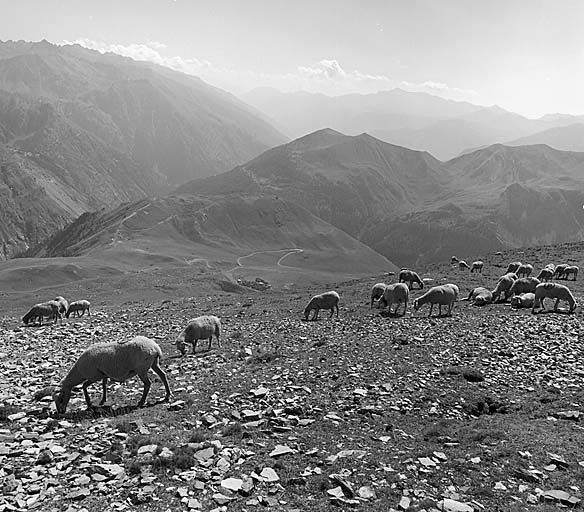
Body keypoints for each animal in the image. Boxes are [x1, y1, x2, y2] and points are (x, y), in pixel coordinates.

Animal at [36, 334, 171, 414]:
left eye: (61, 398)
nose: (60, 412)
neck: (79, 371)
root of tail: (155, 347)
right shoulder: (104, 374)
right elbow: (104, 385)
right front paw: (103, 400)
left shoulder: (94, 376)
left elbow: (84, 386)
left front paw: (90, 404)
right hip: (153, 364)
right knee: (163, 375)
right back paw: (167, 395)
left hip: (141, 369)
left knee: (148, 383)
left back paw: (141, 402)